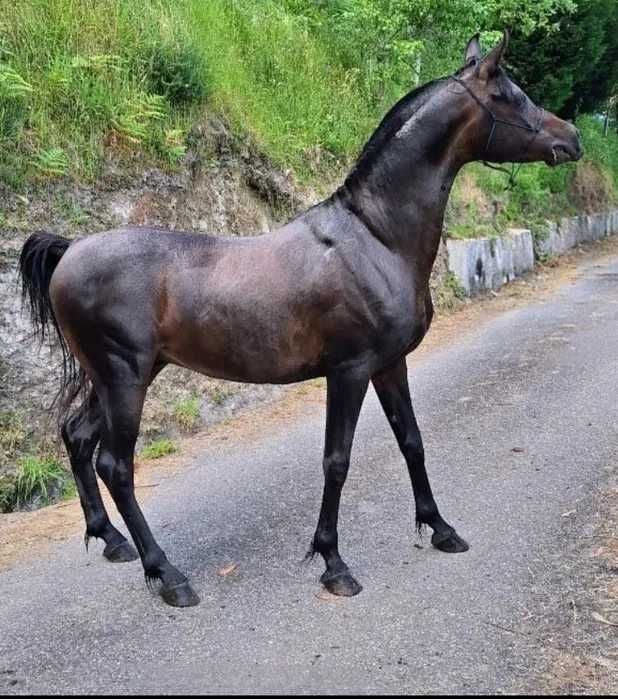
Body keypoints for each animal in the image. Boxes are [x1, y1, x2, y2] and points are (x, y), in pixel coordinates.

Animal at [19, 32, 581, 607]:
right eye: (510, 96)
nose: (573, 138)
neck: (376, 238)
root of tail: (70, 249)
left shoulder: (389, 365)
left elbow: (412, 441)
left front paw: (440, 528)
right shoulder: (349, 371)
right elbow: (337, 461)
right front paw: (333, 562)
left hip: (118, 377)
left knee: (77, 437)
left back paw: (112, 541)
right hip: (124, 378)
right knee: (116, 466)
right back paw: (168, 574)